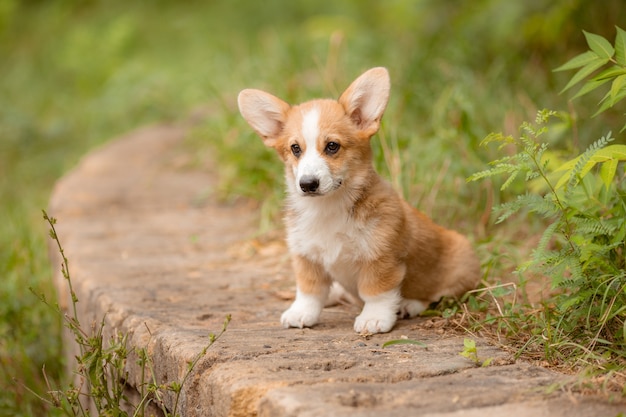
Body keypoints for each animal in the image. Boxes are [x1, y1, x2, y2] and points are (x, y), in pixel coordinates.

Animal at [238, 66, 478, 334]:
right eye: (295, 149)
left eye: (332, 146)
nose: (308, 184)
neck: (328, 208)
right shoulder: (306, 257)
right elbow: (309, 291)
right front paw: (301, 312)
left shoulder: (380, 257)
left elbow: (376, 291)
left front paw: (374, 318)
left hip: (460, 262)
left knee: (435, 295)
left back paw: (409, 304)